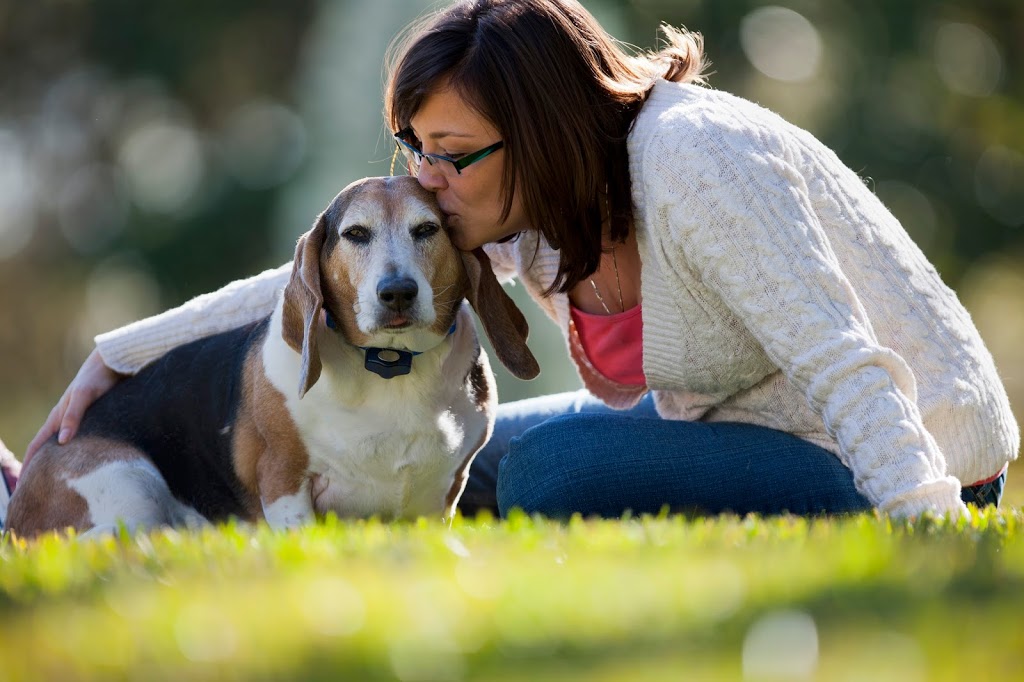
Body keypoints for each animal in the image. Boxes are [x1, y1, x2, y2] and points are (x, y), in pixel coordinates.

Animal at [8, 175, 540, 536]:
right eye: (356, 234)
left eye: (427, 228)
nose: (397, 292)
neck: (391, 366)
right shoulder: (284, 481)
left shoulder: (440, 496)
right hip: (131, 485)